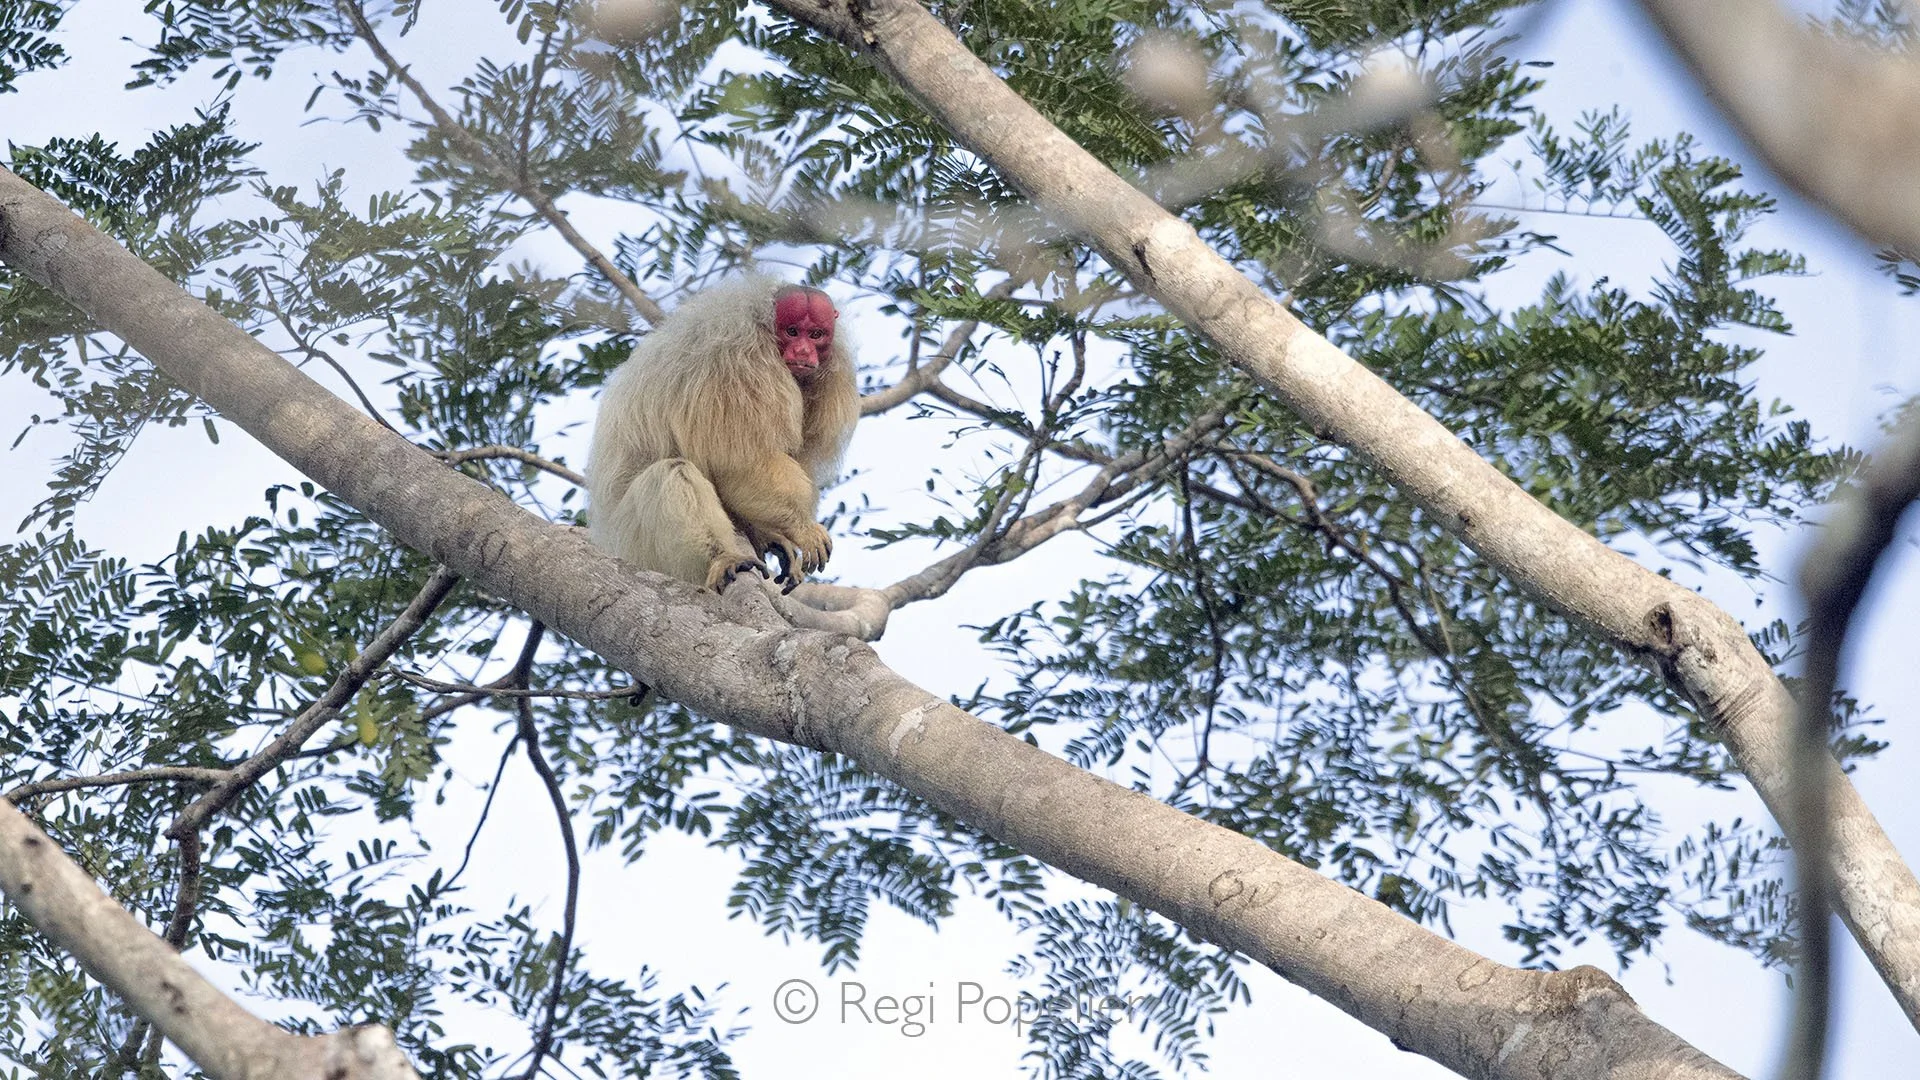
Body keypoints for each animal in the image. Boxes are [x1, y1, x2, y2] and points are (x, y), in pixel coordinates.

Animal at [586, 275, 860, 593]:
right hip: (632, 544)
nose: (803, 352)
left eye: (816, 334)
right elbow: (742, 463)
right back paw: (724, 559)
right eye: (792, 332)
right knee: (672, 473)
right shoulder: (738, 362)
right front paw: (801, 528)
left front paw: (772, 535)